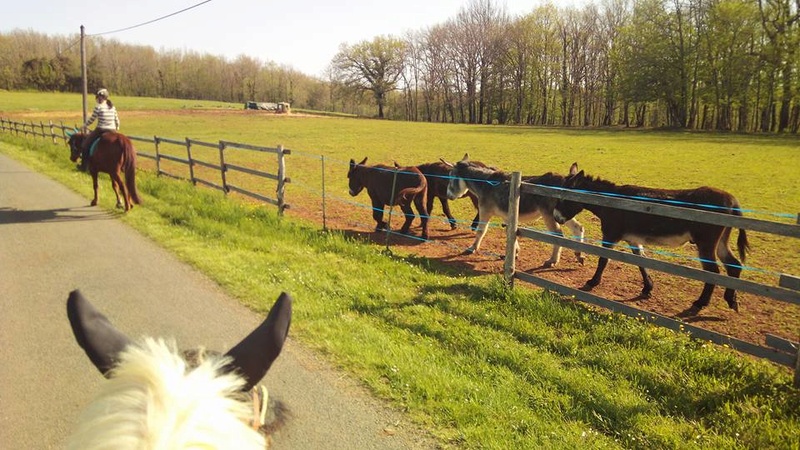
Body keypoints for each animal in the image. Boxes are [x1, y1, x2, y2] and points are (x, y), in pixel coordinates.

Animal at [552, 163, 748, 314]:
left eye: (564, 198)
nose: (556, 218)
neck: (610, 202)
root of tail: (732, 200)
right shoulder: (633, 239)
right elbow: (641, 262)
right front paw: (647, 288)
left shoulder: (611, 235)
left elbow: (603, 260)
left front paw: (592, 282)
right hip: (721, 240)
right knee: (734, 265)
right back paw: (731, 300)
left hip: (706, 242)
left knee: (713, 271)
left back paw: (701, 303)